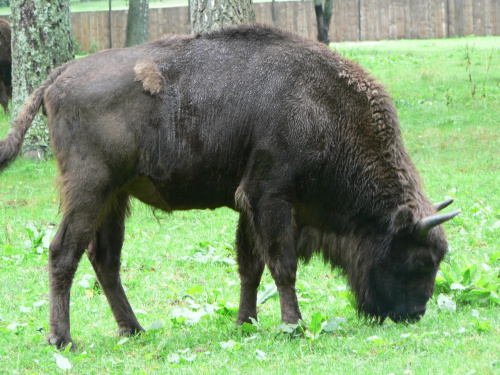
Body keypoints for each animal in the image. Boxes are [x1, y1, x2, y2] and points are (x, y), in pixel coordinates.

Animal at [0, 25, 460, 350]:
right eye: (420, 260)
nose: (414, 313)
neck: (321, 107)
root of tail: (59, 75)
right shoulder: (270, 198)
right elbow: (282, 265)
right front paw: (293, 324)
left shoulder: (249, 208)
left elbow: (250, 266)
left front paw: (246, 321)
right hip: (89, 189)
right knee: (63, 252)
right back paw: (62, 339)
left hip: (115, 197)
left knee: (105, 260)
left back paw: (134, 329)